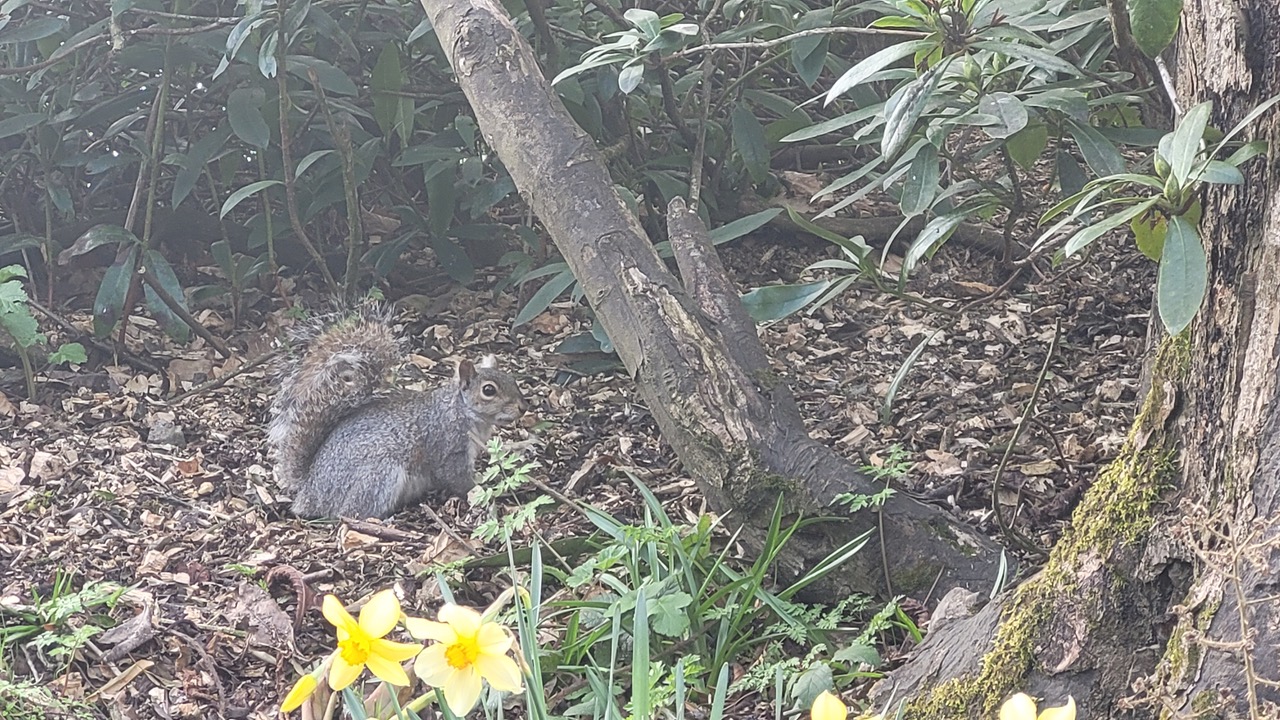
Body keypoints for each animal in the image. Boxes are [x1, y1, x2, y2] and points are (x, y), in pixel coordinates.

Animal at [267, 310, 526, 519]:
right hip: (379, 475)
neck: (463, 412)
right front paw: (484, 488)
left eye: (513, 379)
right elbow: (457, 478)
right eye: (489, 390)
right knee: (349, 513)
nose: (522, 407)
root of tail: (310, 489)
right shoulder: (448, 446)